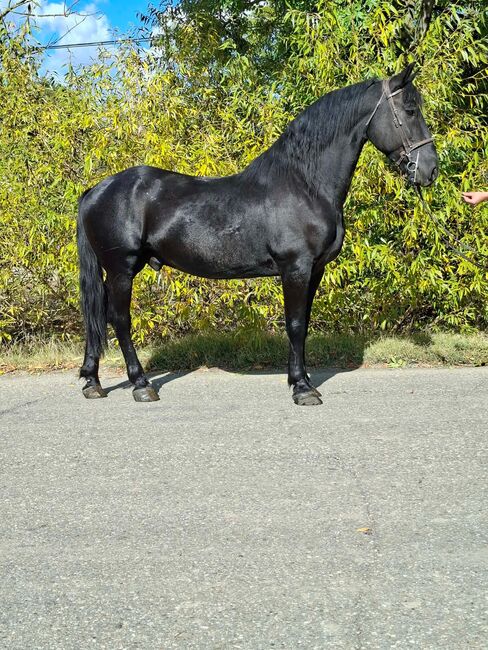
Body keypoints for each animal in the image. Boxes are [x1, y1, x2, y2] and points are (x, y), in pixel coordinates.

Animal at [77, 63, 438, 406]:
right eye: (409, 110)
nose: (430, 169)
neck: (303, 184)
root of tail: (95, 190)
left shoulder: (315, 270)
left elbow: (303, 324)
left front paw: (300, 380)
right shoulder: (295, 268)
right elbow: (294, 325)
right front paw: (303, 389)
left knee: (98, 315)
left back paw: (92, 382)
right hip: (122, 269)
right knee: (119, 319)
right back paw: (141, 385)